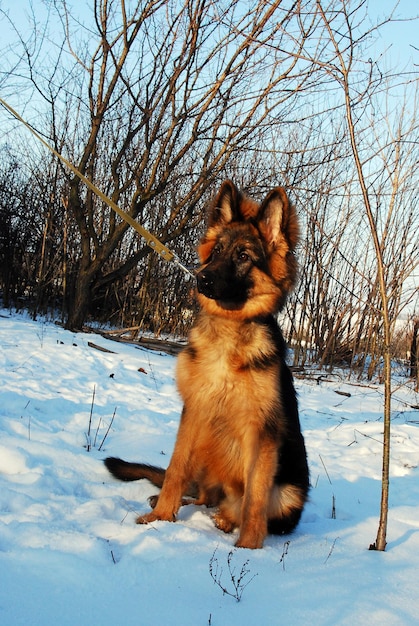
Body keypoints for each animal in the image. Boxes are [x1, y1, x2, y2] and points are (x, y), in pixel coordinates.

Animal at [105, 179, 308, 544]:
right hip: (205, 446)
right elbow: (175, 470)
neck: (229, 332)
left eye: (243, 256)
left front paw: (249, 549)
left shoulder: (263, 433)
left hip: (288, 492)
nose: (202, 278)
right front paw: (160, 517)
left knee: (240, 506)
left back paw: (227, 520)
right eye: (215, 252)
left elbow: (255, 499)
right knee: (202, 494)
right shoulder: (195, 412)